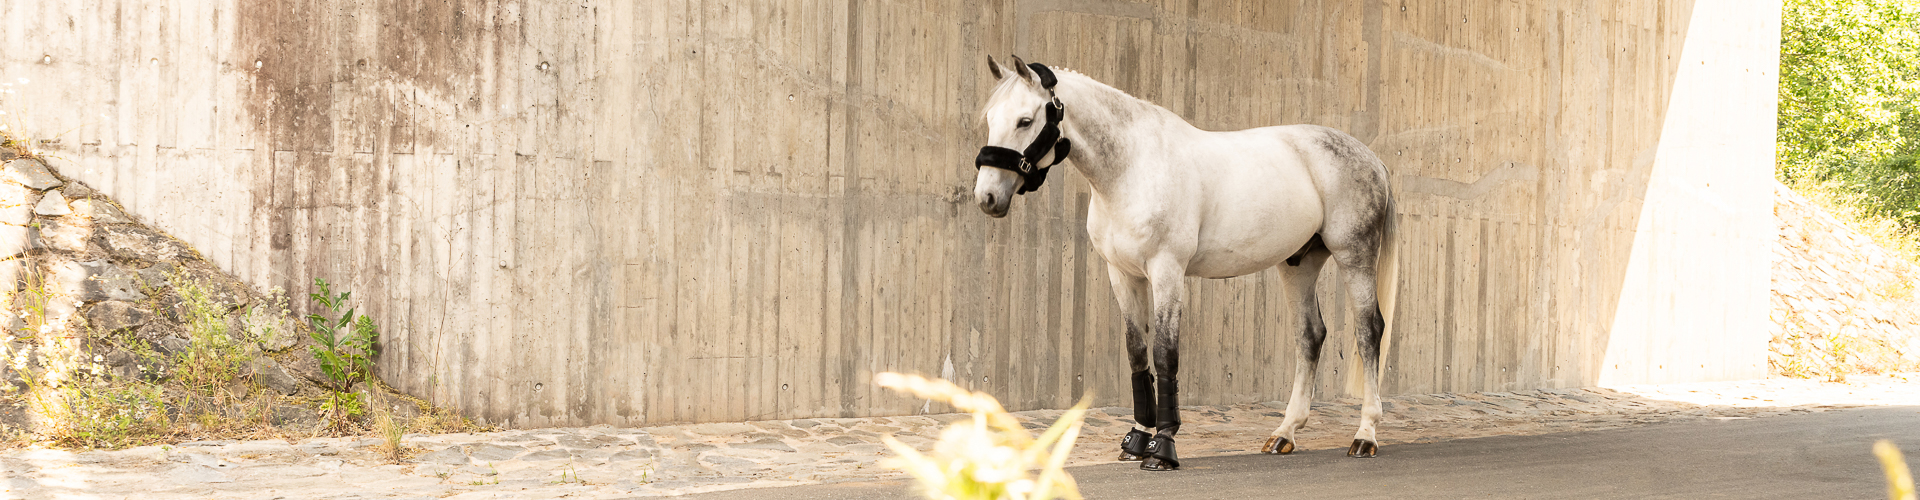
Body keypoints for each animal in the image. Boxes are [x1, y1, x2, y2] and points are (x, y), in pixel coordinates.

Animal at [975, 56, 1397, 471]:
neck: (1132, 168)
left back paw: (1365, 436)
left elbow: (1165, 353)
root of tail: (1370, 157)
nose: (987, 197)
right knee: (1310, 335)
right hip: (1299, 264)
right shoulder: (1122, 275)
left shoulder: (1167, 271)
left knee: (1368, 332)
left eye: (1025, 120)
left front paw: (1162, 447)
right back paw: (1284, 434)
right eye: (991, 117)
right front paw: (1136, 440)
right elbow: (1137, 352)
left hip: (1354, 255)